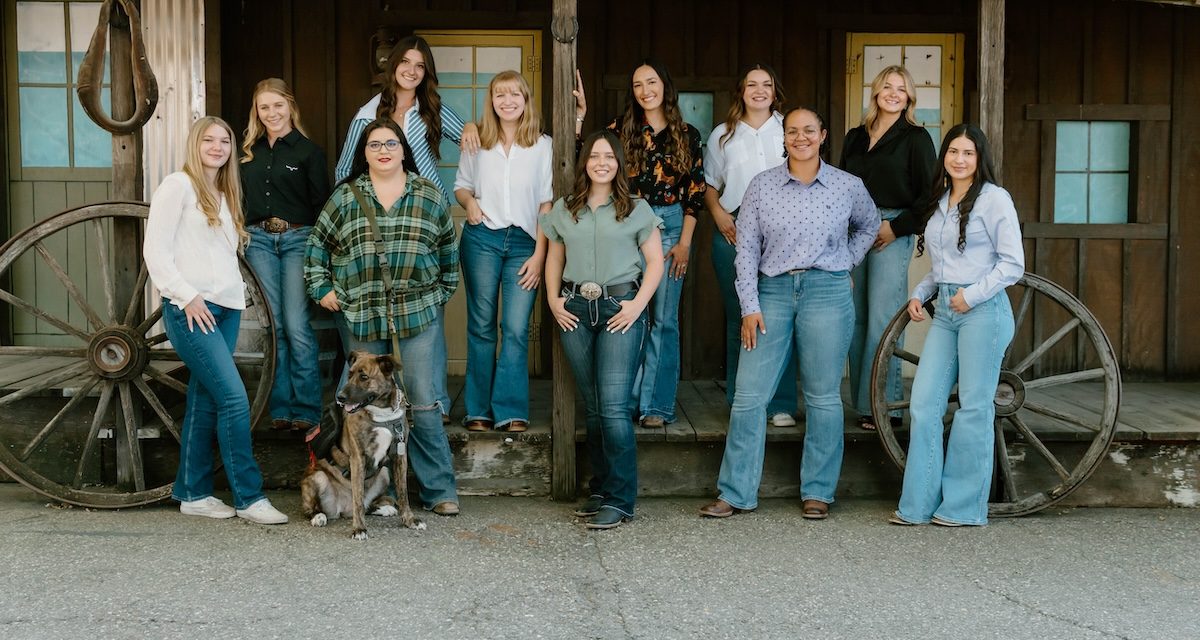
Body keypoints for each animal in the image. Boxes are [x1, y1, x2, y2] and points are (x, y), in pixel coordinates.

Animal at [297, 353, 424, 535]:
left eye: (364, 377)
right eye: (349, 375)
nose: (340, 397)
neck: (382, 412)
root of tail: (344, 510)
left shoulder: (400, 456)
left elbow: (403, 493)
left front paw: (410, 520)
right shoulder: (358, 457)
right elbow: (357, 496)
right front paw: (359, 529)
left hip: (384, 473)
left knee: (366, 505)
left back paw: (384, 509)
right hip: (318, 477)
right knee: (314, 509)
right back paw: (318, 516)